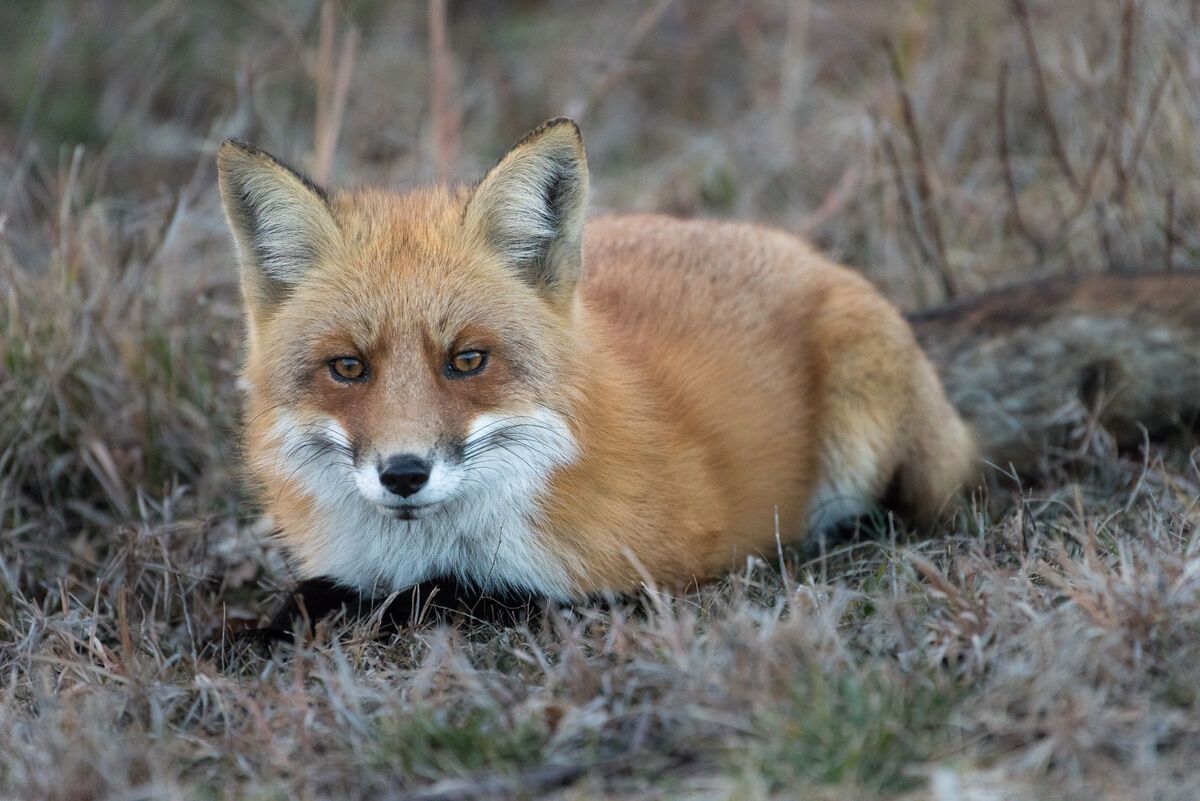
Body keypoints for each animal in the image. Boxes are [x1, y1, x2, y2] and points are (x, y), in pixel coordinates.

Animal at [218, 115, 1200, 618]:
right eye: (348, 367)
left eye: (468, 360)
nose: (404, 472)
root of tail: (811, 251)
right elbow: (318, 595)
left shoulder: (638, 581)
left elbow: (467, 598)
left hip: (875, 435)